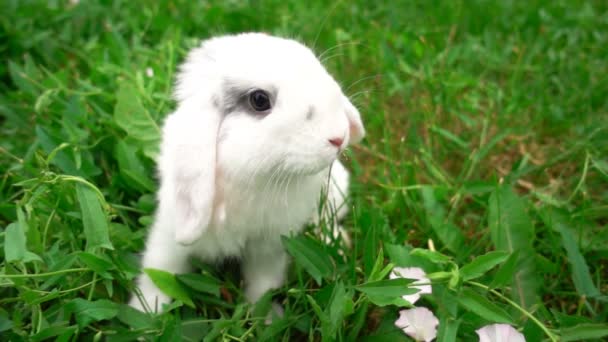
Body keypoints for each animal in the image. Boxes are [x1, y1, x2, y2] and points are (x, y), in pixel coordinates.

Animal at [129, 32, 364, 312]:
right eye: (259, 100)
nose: (338, 136)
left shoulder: (269, 248)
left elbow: (263, 285)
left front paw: (265, 316)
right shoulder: (169, 237)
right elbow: (159, 274)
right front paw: (146, 311)